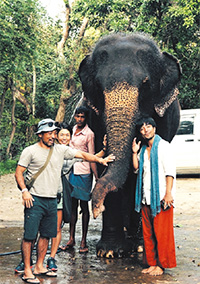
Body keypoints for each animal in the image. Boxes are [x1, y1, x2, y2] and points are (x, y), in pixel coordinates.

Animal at [77, 32, 181, 258]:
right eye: (98, 86)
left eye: (145, 84)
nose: (97, 209)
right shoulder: (95, 119)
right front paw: (109, 252)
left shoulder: (164, 118)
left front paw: (140, 246)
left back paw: (137, 241)